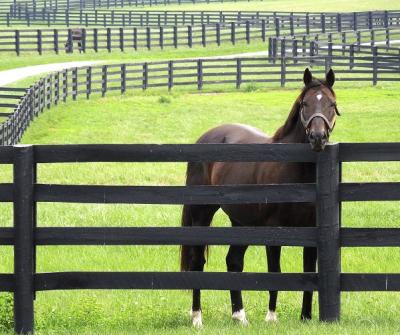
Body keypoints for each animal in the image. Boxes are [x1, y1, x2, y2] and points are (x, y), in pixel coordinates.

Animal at [181, 68, 340, 328]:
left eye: (331, 104)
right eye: (305, 103)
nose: (318, 137)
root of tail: (207, 137)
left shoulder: (310, 230)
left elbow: (308, 271)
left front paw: (305, 317)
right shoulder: (274, 230)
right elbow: (274, 272)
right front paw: (272, 317)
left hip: (241, 222)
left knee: (233, 261)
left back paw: (239, 315)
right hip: (201, 214)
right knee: (197, 262)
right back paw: (197, 317)